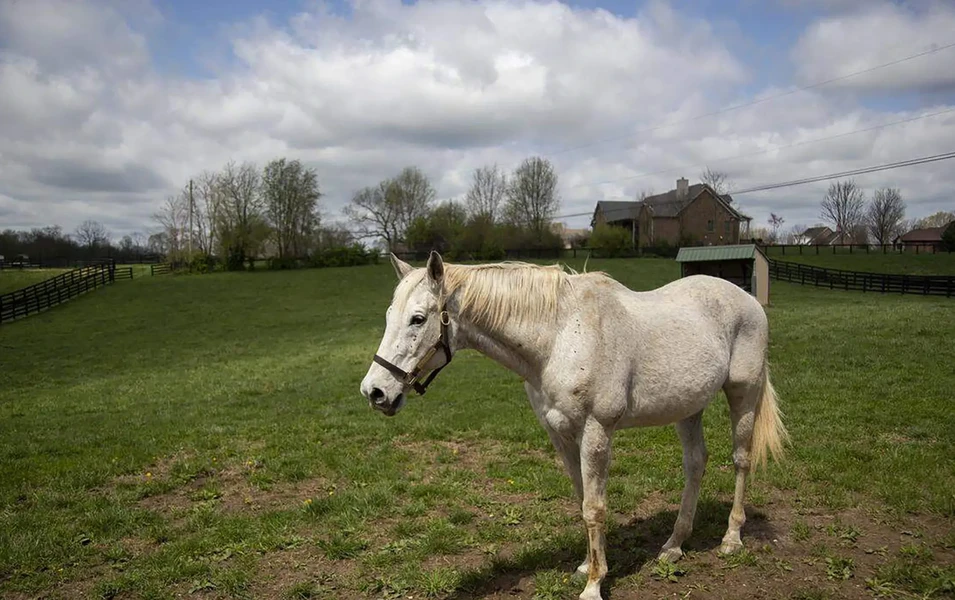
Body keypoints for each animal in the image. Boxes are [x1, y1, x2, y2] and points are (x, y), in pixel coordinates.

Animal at [360, 251, 788, 600]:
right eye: (388, 316)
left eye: (418, 319)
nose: (375, 392)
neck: (559, 338)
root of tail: (749, 300)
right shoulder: (560, 434)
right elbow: (582, 498)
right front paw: (586, 566)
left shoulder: (596, 432)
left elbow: (594, 507)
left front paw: (595, 584)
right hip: (689, 408)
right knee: (696, 464)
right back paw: (673, 545)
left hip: (743, 394)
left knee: (741, 459)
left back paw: (731, 539)